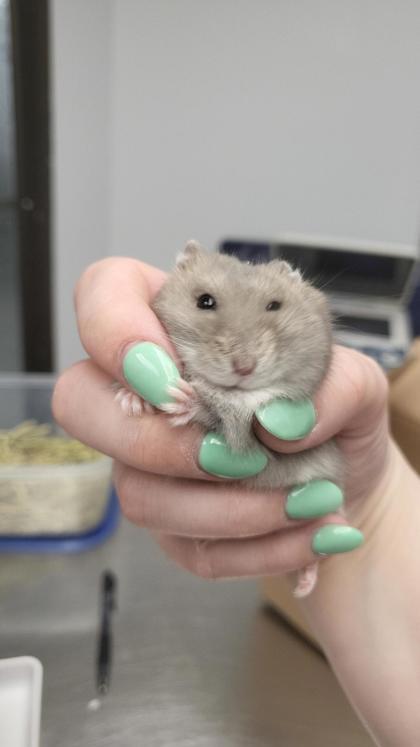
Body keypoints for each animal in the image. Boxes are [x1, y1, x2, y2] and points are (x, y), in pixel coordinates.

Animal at [120, 241, 344, 597]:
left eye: (275, 305)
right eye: (205, 301)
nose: (244, 367)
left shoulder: (259, 434)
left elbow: (223, 415)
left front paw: (182, 398)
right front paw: (131, 400)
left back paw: (305, 582)